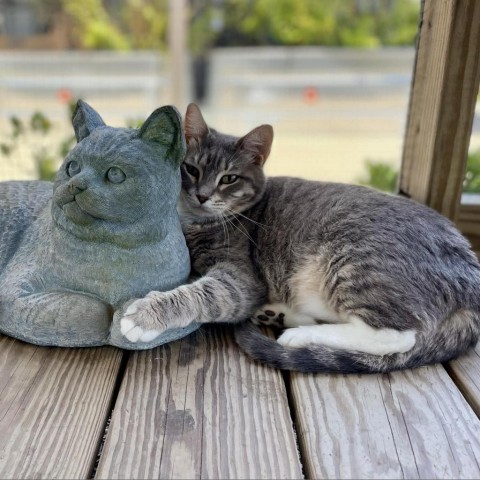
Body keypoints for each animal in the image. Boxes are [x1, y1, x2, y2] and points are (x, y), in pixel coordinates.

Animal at [0, 100, 197, 348]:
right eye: (73, 167)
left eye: (115, 174)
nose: (75, 185)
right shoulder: (14, 289)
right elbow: (83, 309)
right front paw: (107, 317)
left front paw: (130, 319)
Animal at [120, 103, 480, 374]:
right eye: (191, 169)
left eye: (229, 179)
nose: (202, 195)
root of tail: (470, 274)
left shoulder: (241, 277)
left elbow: (204, 292)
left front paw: (146, 314)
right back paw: (279, 314)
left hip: (356, 263)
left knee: (398, 335)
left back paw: (300, 335)